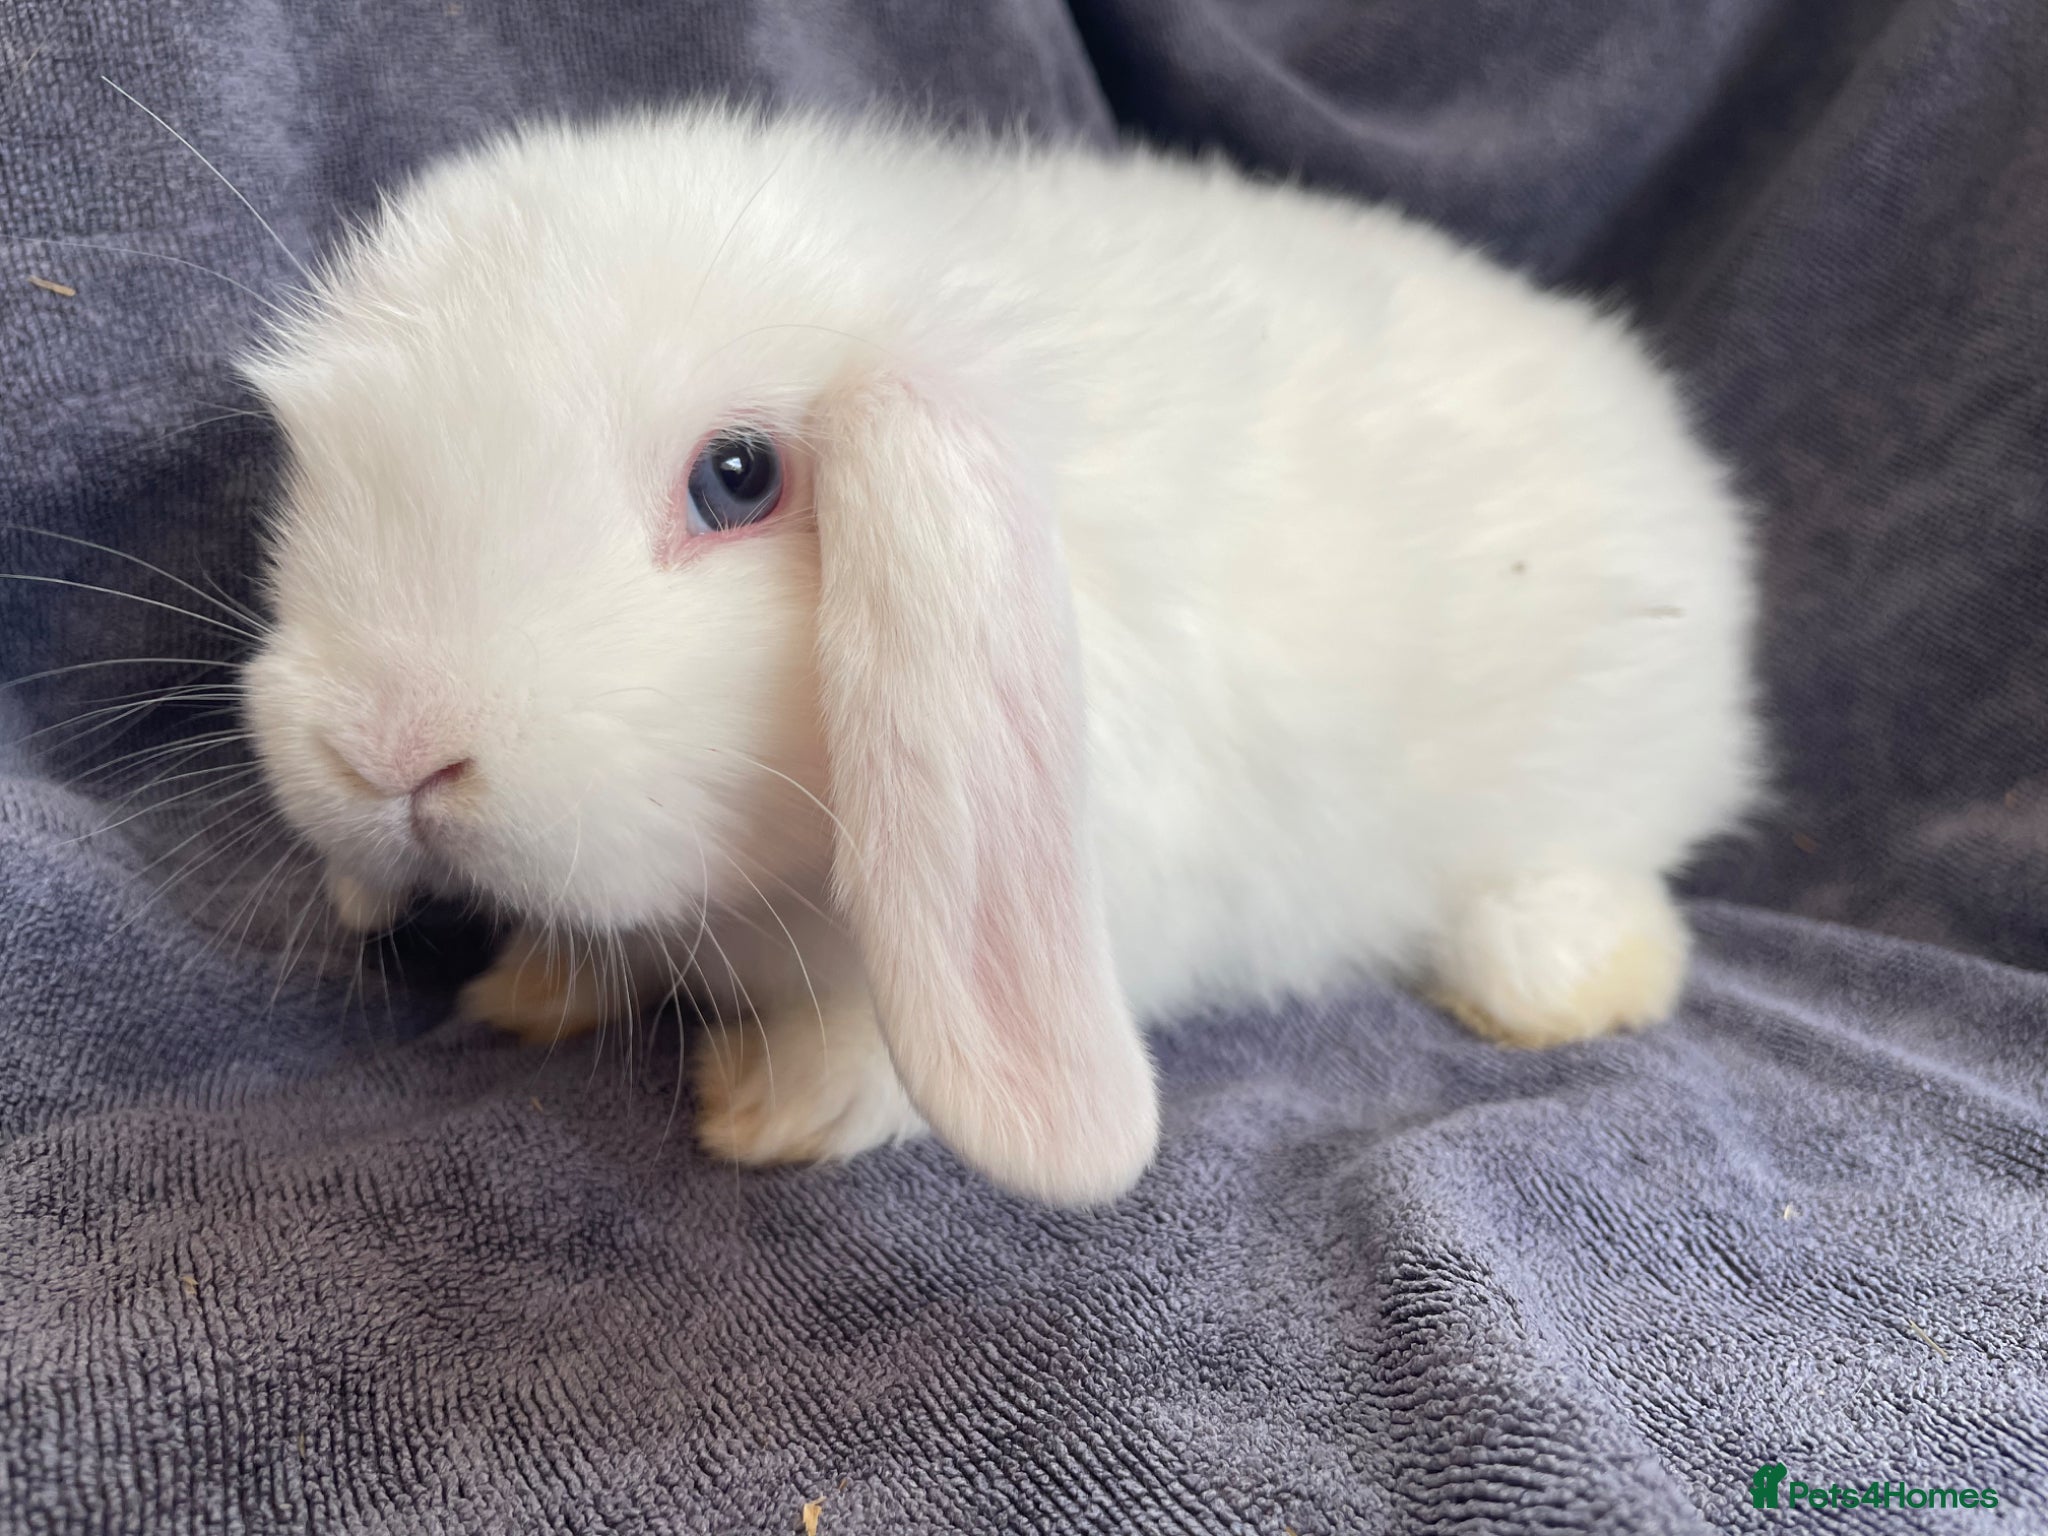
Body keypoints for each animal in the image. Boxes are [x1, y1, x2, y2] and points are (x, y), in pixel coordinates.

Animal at [239, 104, 1760, 1207]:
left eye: (737, 477)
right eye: (314, 462)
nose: (384, 750)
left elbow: (881, 1039)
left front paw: (776, 1107)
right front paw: (530, 992)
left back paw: (1556, 989)